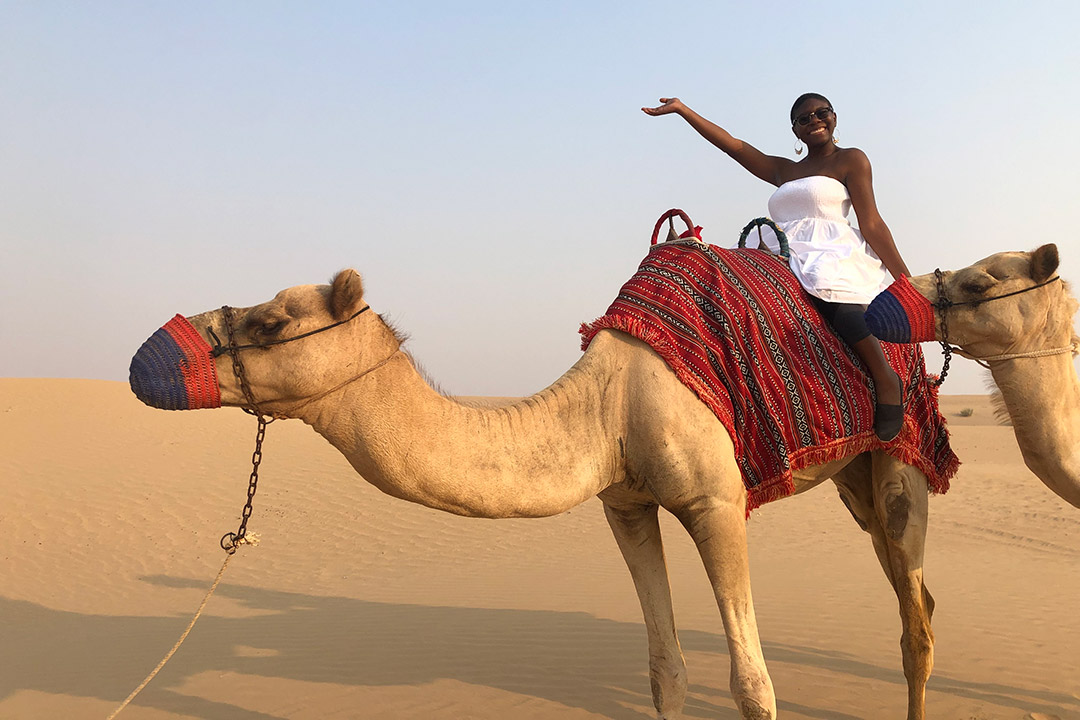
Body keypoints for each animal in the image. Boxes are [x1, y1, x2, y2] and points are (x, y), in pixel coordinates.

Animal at [130, 243, 1075, 720]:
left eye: (270, 320)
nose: (150, 355)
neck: (606, 406)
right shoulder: (626, 507)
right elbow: (666, 672)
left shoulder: (715, 502)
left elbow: (752, 683)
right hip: (850, 482)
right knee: (916, 598)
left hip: (898, 462)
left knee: (915, 619)